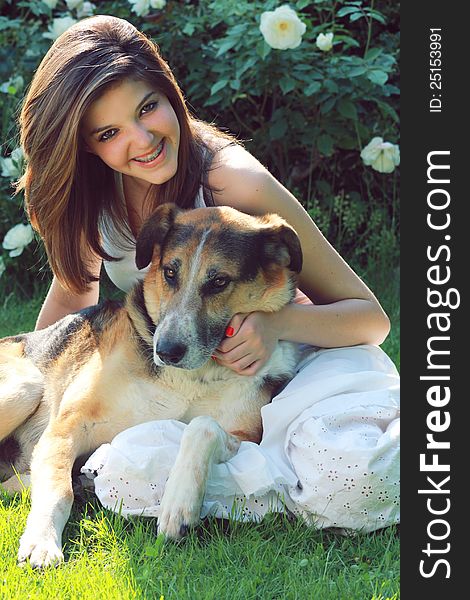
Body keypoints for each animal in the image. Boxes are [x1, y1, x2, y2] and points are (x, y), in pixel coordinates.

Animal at [0, 202, 302, 568]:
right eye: (170, 272)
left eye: (219, 281)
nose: (166, 351)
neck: (191, 378)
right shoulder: (67, 426)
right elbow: (59, 490)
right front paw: (42, 540)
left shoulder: (246, 437)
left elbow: (202, 426)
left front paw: (179, 505)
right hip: (26, 385)